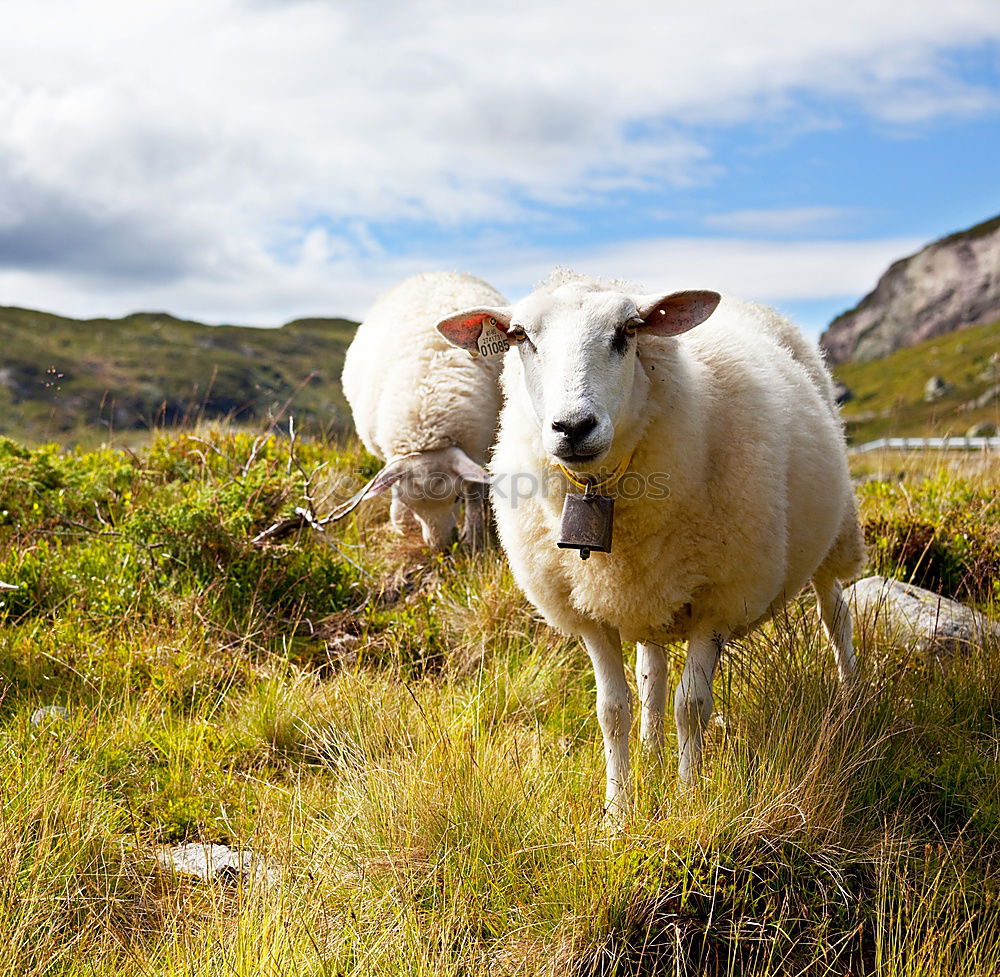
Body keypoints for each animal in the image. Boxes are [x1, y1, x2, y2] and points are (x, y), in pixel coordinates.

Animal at [344, 270, 508, 552]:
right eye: (411, 505)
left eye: (456, 499)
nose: (440, 547)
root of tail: (440, 272)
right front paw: (399, 522)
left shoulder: (478, 448)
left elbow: (475, 492)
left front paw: (474, 537)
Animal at [438, 268, 868, 816]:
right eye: (520, 337)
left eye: (629, 331)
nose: (572, 427)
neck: (598, 488)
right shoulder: (590, 609)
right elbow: (612, 710)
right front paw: (618, 811)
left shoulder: (718, 601)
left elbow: (692, 706)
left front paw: (688, 799)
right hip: (648, 591)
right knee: (651, 673)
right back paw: (651, 749)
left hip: (834, 532)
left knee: (836, 613)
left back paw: (851, 700)